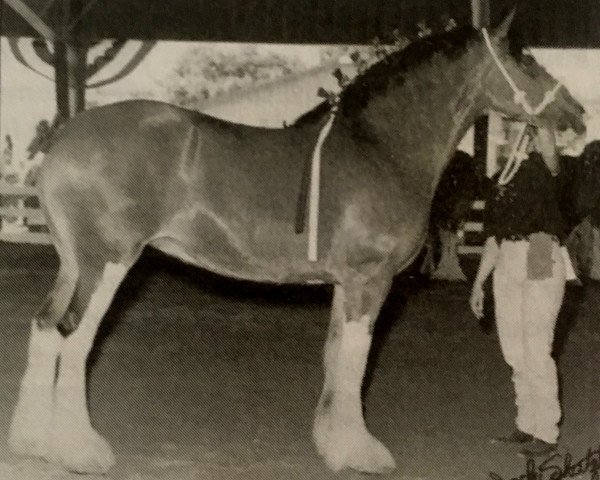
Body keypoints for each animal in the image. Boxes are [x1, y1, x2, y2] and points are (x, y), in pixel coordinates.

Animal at [8, 13, 584, 474]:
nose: (577, 114)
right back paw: (81, 451)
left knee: (43, 328)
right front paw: (360, 453)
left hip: (73, 266)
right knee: (73, 337)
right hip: (106, 262)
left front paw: (333, 444)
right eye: (526, 60)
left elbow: (336, 357)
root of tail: (64, 138)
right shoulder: (369, 280)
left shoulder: (346, 284)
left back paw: (32, 442)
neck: (381, 148)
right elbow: (355, 360)